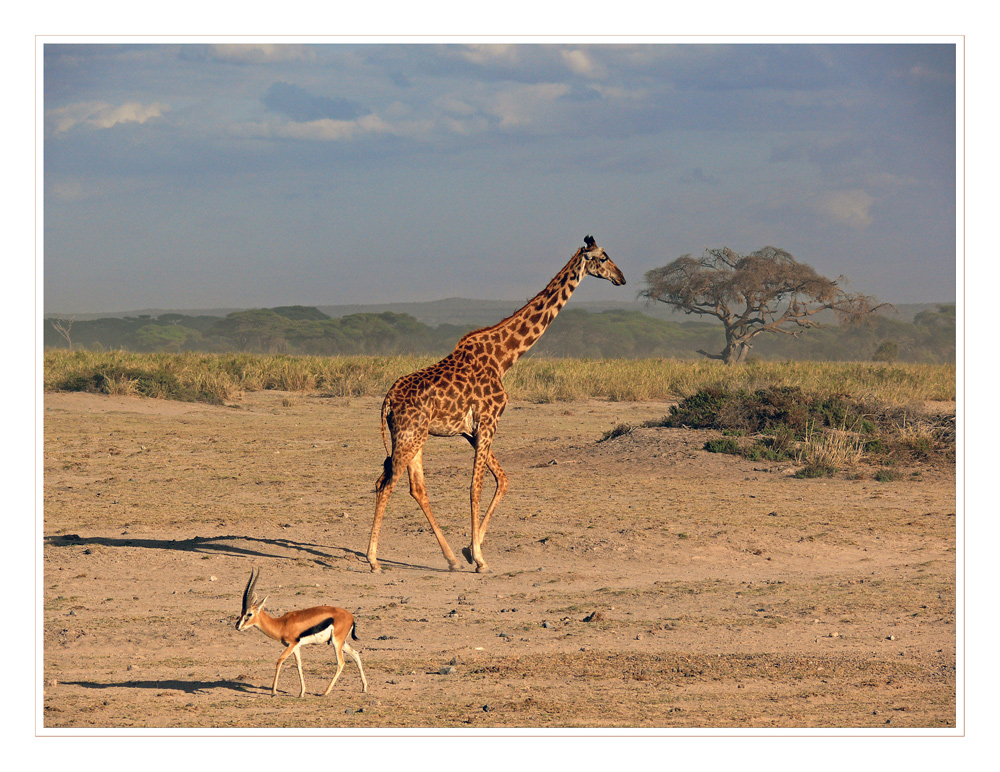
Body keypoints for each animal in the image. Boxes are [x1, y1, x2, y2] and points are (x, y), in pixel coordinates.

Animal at [366, 235, 624, 572]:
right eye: (604, 257)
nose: (622, 278)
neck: (503, 358)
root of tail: (387, 400)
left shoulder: (472, 430)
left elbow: (502, 480)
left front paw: (469, 550)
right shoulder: (489, 421)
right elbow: (476, 487)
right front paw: (479, 557)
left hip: (415, 437)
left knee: (414, 487)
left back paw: (450, 559)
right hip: (409, 436)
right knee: (386, 483)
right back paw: (373, 560)